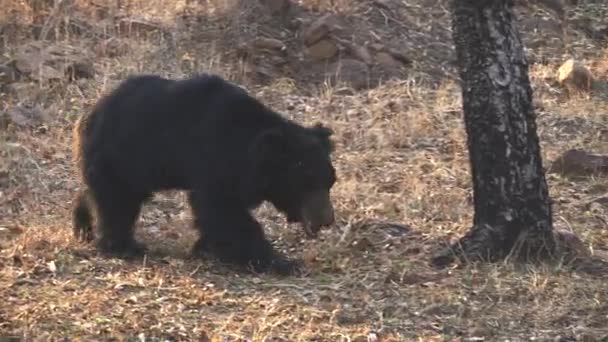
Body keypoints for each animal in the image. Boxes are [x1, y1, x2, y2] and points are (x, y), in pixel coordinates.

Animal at [72, 73, 338, 276]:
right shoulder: (214, 159)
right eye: (306, 183)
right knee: (117, 201)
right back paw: (124, 246)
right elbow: (223, 210)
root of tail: (88, 115)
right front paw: (281, 262)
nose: (326, 220)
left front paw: (204, 248)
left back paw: (84, 226)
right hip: (122, 154)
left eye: (330, 182)